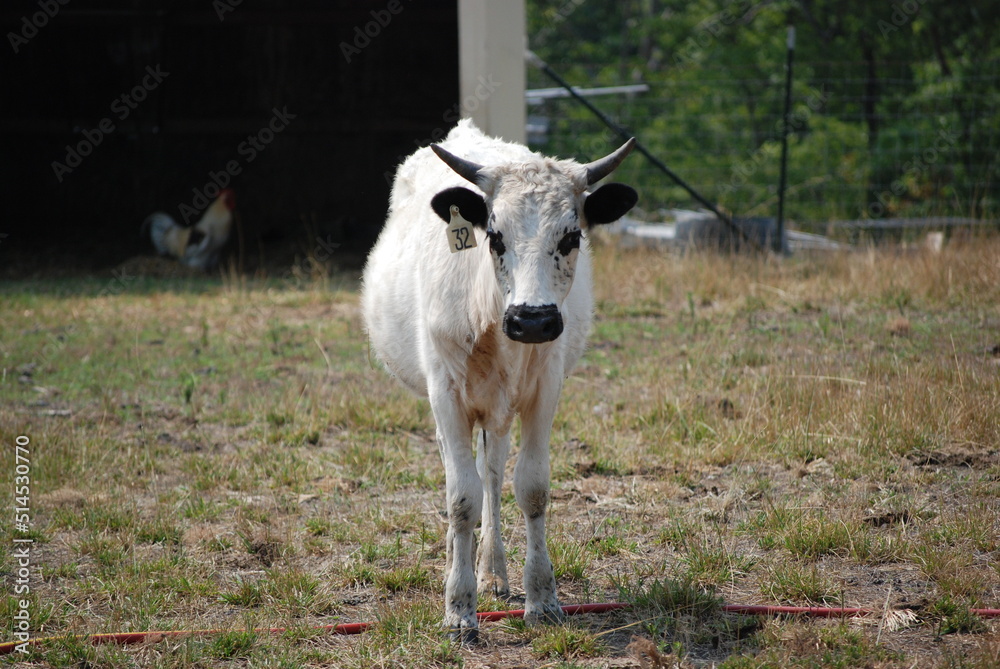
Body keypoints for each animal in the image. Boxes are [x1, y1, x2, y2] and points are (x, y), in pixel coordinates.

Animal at [361, 119, 637, 641]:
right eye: (494, 236)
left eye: (571, 237)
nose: (532, 320)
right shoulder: (446, 394)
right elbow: (460, 498)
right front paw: (458, 607)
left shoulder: (544, 389)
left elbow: (531, 488)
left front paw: (542, 598)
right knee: (463, 474)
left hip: (500, 410)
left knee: (490, 471)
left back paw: (493, 569)